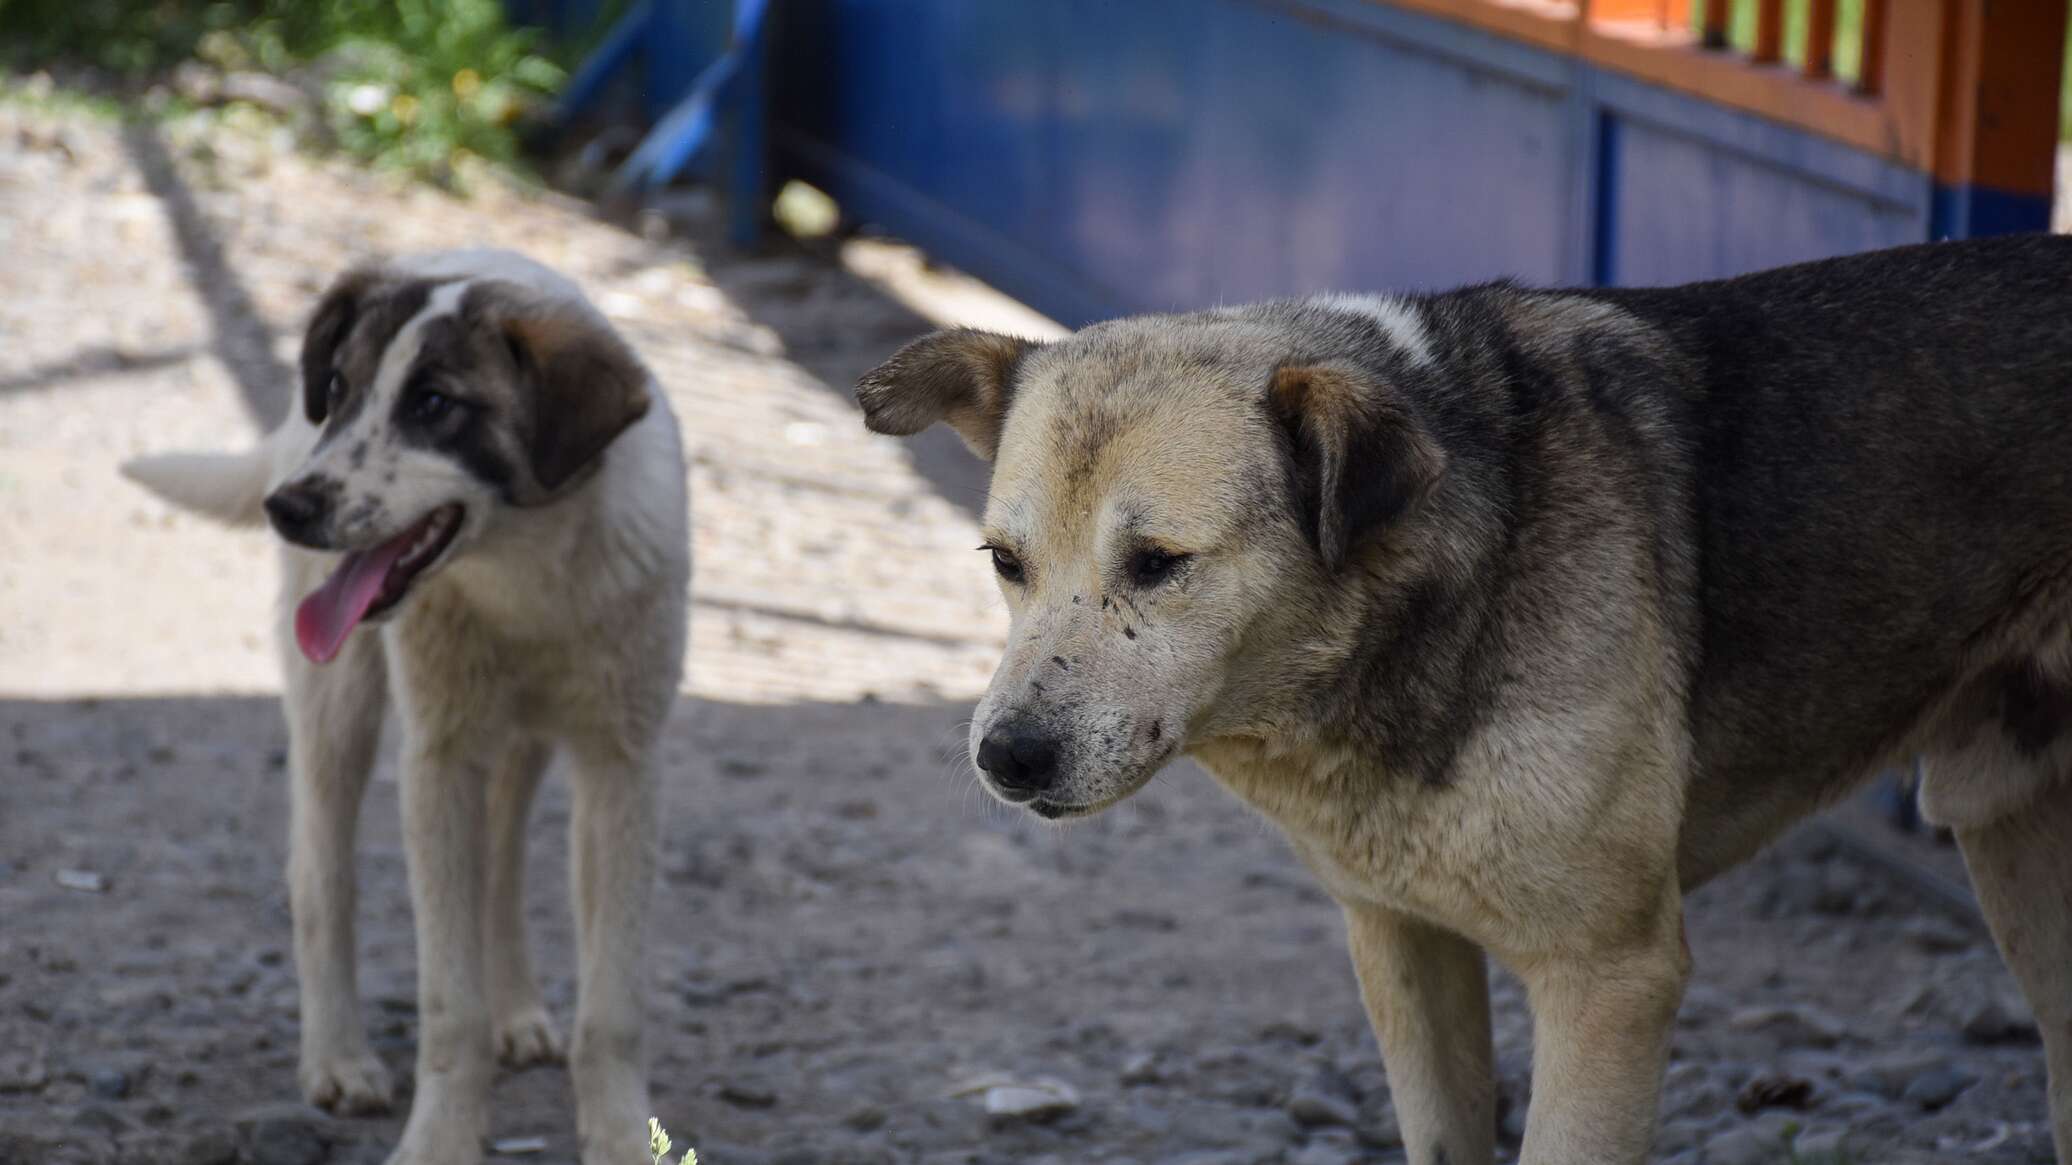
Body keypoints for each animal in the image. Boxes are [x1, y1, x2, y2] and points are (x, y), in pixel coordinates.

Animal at [121, 246, 687, 1160]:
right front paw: (441, 1140)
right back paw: (337, 1058)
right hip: (337, 705)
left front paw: (619, 1138)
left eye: (434, 405)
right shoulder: (437, 761)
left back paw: (517, 1009)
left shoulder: (622, 765)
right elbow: (448, 1004)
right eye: (340, 388)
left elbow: (613, 1006)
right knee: (321, 875)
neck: (525, 573)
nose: (289, 508)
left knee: (500, 862)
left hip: (516, 742)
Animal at [845, 231, 2072, 1152]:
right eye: (1004, 562)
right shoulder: (1401, 939)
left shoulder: (1611, 978)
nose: (1004, 757)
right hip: (2011, 840)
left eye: (1157, 563)